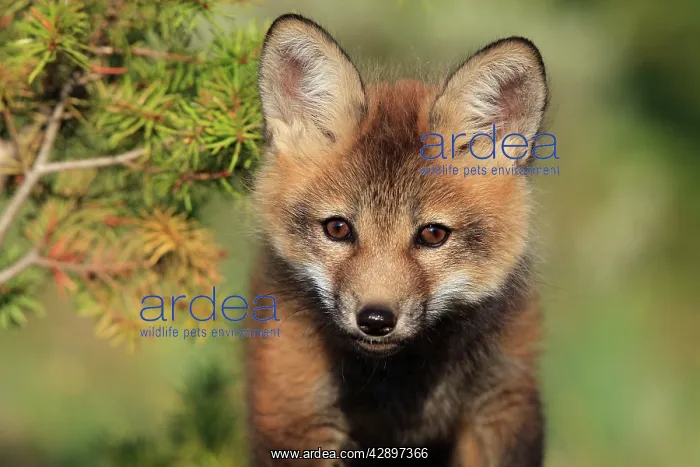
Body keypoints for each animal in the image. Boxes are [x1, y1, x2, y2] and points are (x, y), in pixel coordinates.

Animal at [246, 13, 549, 467]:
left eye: (433, 234)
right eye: (338, 229)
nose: (375, 320)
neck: (395, 386)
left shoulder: (501, 402)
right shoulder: (295, 413)